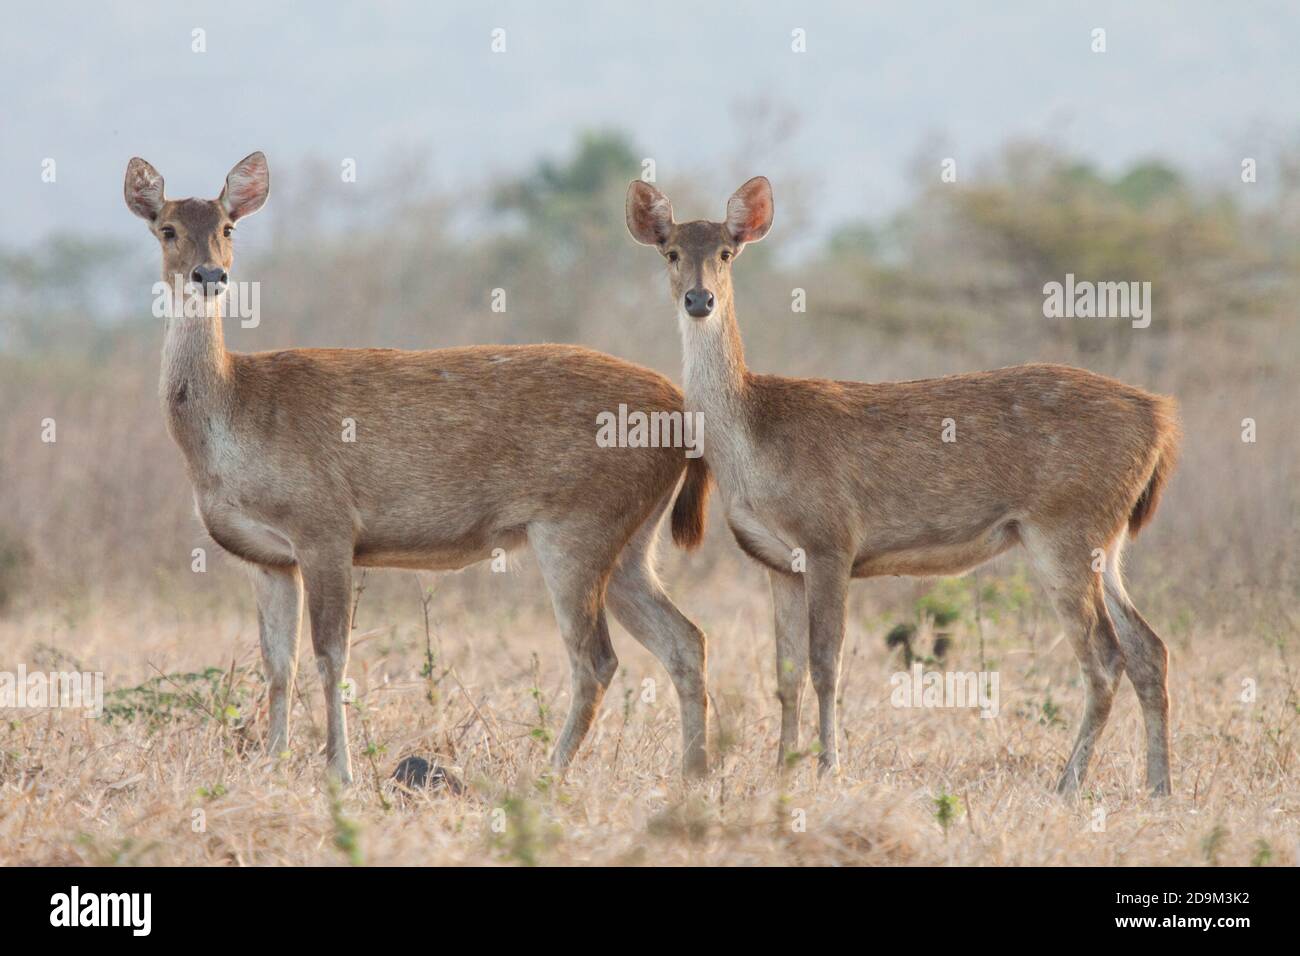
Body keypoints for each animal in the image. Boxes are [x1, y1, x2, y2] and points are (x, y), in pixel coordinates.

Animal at [122, 153, 712, 785]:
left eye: (228, 228)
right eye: (168, 229)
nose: (209, 275)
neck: (232, 422)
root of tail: (683, 414)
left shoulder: (325, 524)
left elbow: (331, 654)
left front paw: (340, 771)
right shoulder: (268, 557)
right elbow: (278, 661)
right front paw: (274, 763)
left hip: (578, 524)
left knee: (596, 658)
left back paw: (547, 774)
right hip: (631, 541)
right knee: (685, 639)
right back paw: (693, 773)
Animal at [624, 175, 1185, 796]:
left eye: (726, 252)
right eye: (671, 251)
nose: (699, 301)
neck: (753, 443)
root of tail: (1160, 419)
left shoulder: (831, 540)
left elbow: (826, 664)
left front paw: (828, 766)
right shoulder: (777, 562)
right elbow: (785, 672)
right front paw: (782, 768)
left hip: (1064, 526)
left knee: (1105, 658)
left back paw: (1068, 784)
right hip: (1107, 539)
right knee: (1149, 648)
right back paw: (1159, 784)